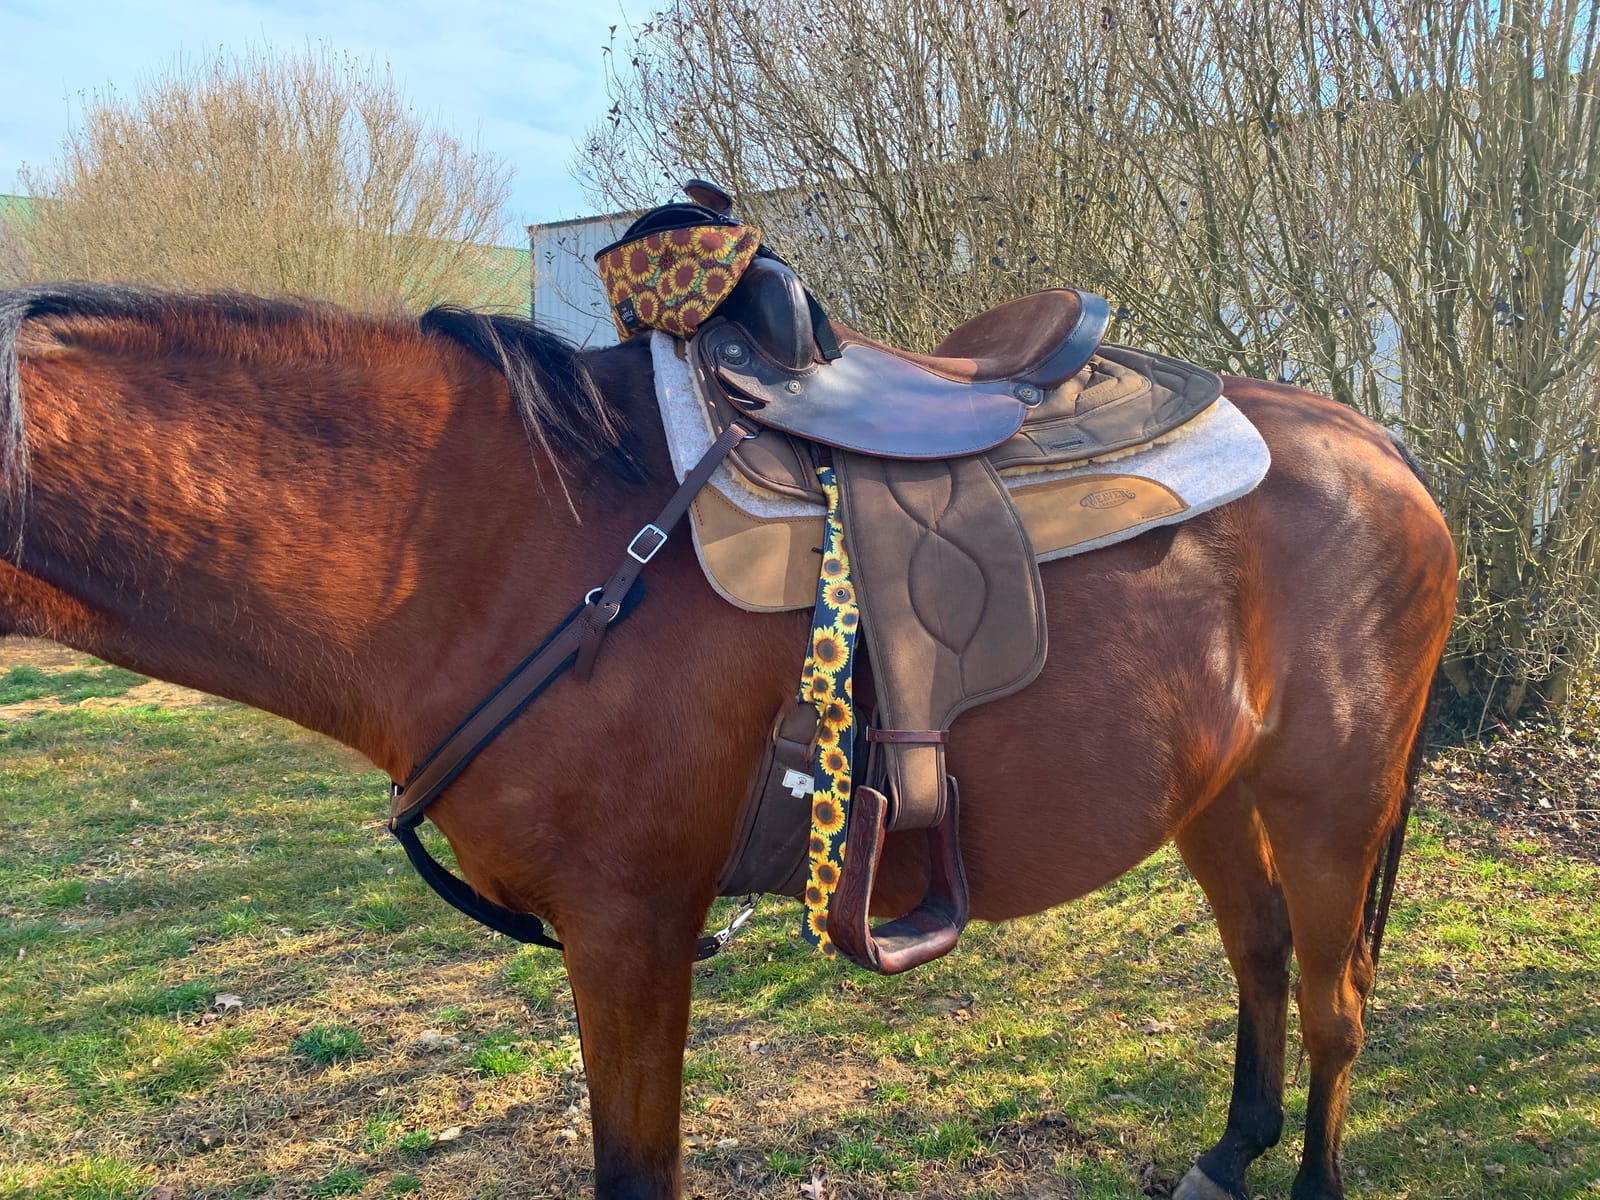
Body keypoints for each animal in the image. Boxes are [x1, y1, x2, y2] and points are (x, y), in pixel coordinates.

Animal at [0, 283, 1455, 1200]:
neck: (494, 548)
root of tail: (1377, 442)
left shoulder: (630, 930)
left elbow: (636, 1173)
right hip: (1216, 791)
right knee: (1260, 957)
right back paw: (1232, 1152)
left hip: (1334, 796)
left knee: (1336, 1002)